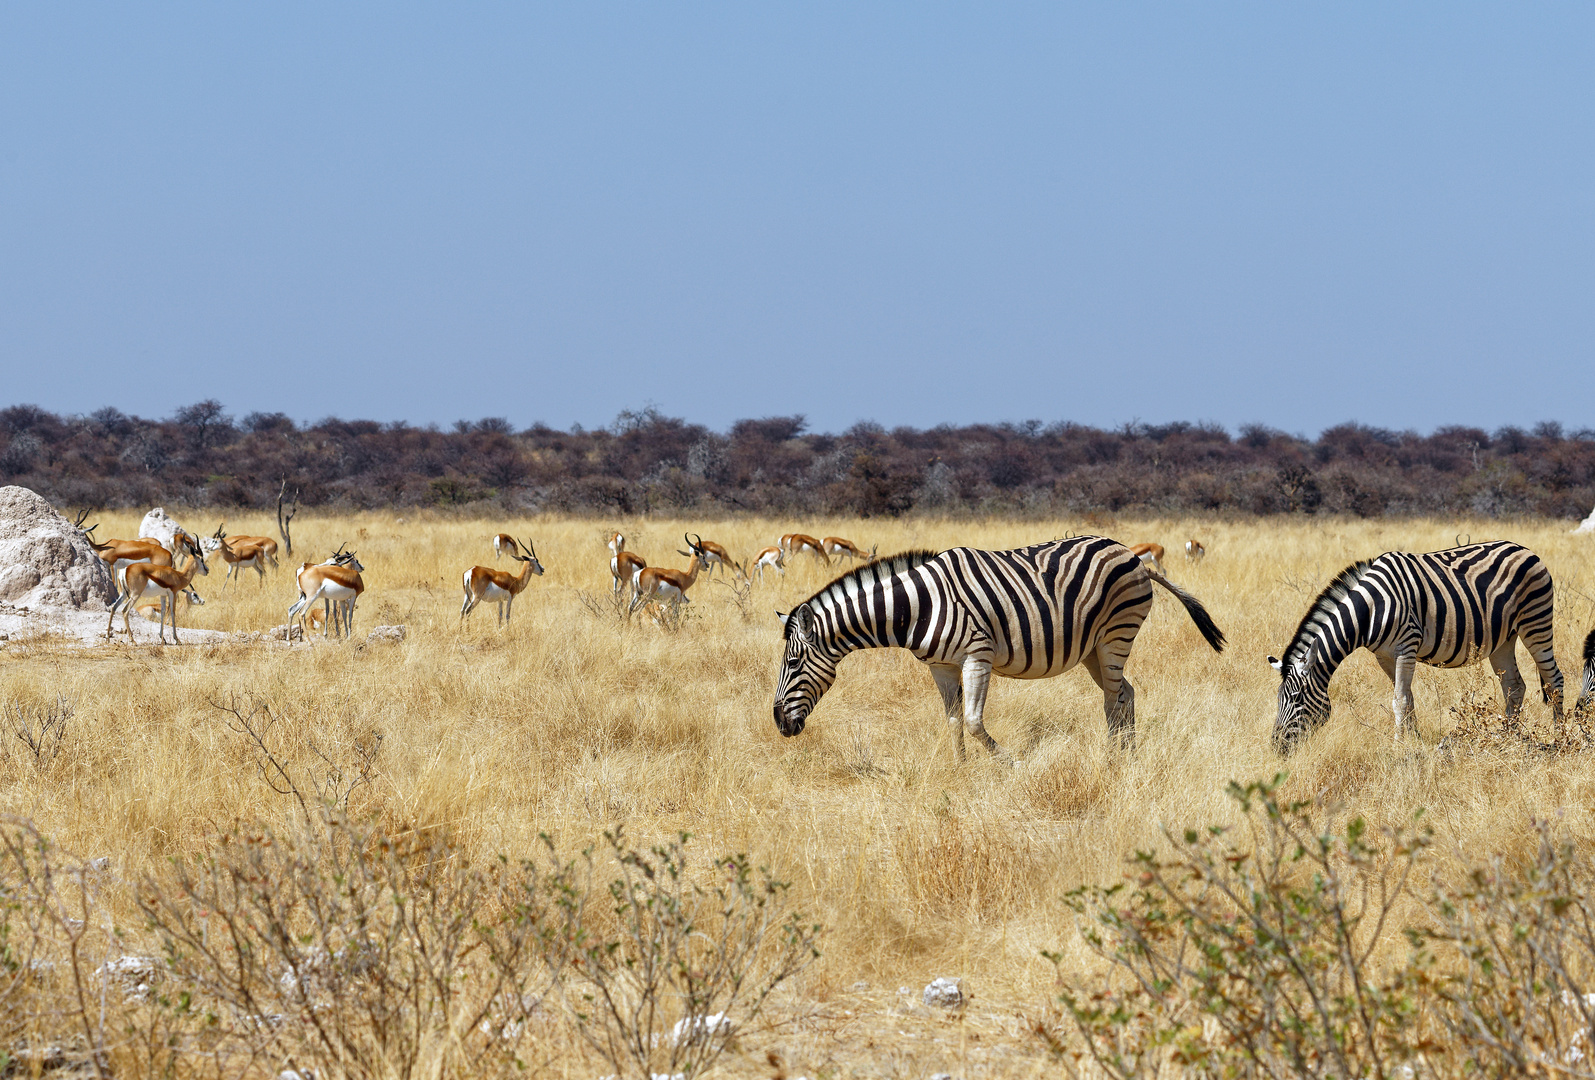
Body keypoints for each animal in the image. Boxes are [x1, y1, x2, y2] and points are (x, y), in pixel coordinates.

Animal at [771, 536, 1218, 759]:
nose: (779, 724)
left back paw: (1112, 760)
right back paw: (1127, 755)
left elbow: (973, 722)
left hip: (1116, 633)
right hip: (1094, 647)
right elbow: (953, 722)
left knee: (1114, 698)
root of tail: (1130, 552)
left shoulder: (977, 656)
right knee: (1126, 692)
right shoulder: (940, 667)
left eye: (793, 663)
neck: (916, 607)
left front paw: (1012, 763)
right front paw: (960, 772)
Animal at [1263, 536, 1563, 752]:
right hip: (1504, 639)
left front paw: (1397, 747)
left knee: (1553, 679)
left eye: (1297, 698)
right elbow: (1408, 699)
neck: (1370, 610)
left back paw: (1560, 736)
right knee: (1514, 686)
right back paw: (1507, 737)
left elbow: (1399, 699)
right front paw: (1414, 739)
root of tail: (1524, 549)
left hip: (1535, 622)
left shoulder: (1406, 647)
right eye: (1278, 699)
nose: (1277, 748)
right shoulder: (1384, 656)